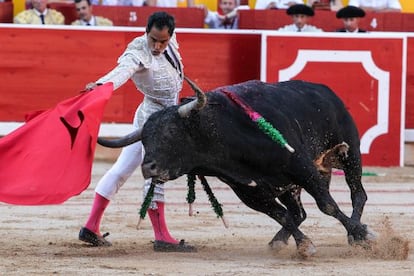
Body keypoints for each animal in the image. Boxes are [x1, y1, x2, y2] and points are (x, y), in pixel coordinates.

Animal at [98, 79, 376, 256]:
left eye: (171, 134)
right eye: (144, 140)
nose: (148, 168)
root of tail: (326, 91)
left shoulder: (301, 167)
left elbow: (327, 205)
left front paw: (362, 235)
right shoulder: (249, 192)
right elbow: (283, 216)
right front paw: (304, 245)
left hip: (350, 154)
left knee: (358, 194)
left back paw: (356, 231)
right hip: (288, 187)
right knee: (298, 213)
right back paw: (278, 241)